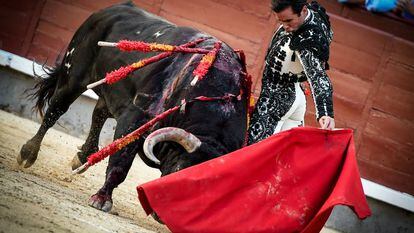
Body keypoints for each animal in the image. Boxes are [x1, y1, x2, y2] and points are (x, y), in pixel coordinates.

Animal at [17, 2, 247, 213]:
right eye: (180, 172)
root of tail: (110, 9)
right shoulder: (136, 118)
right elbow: (120, 162)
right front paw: (101, 199)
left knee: (99, 113)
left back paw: (83, 156)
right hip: (72, 76)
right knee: (55, 111)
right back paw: (28, 153)